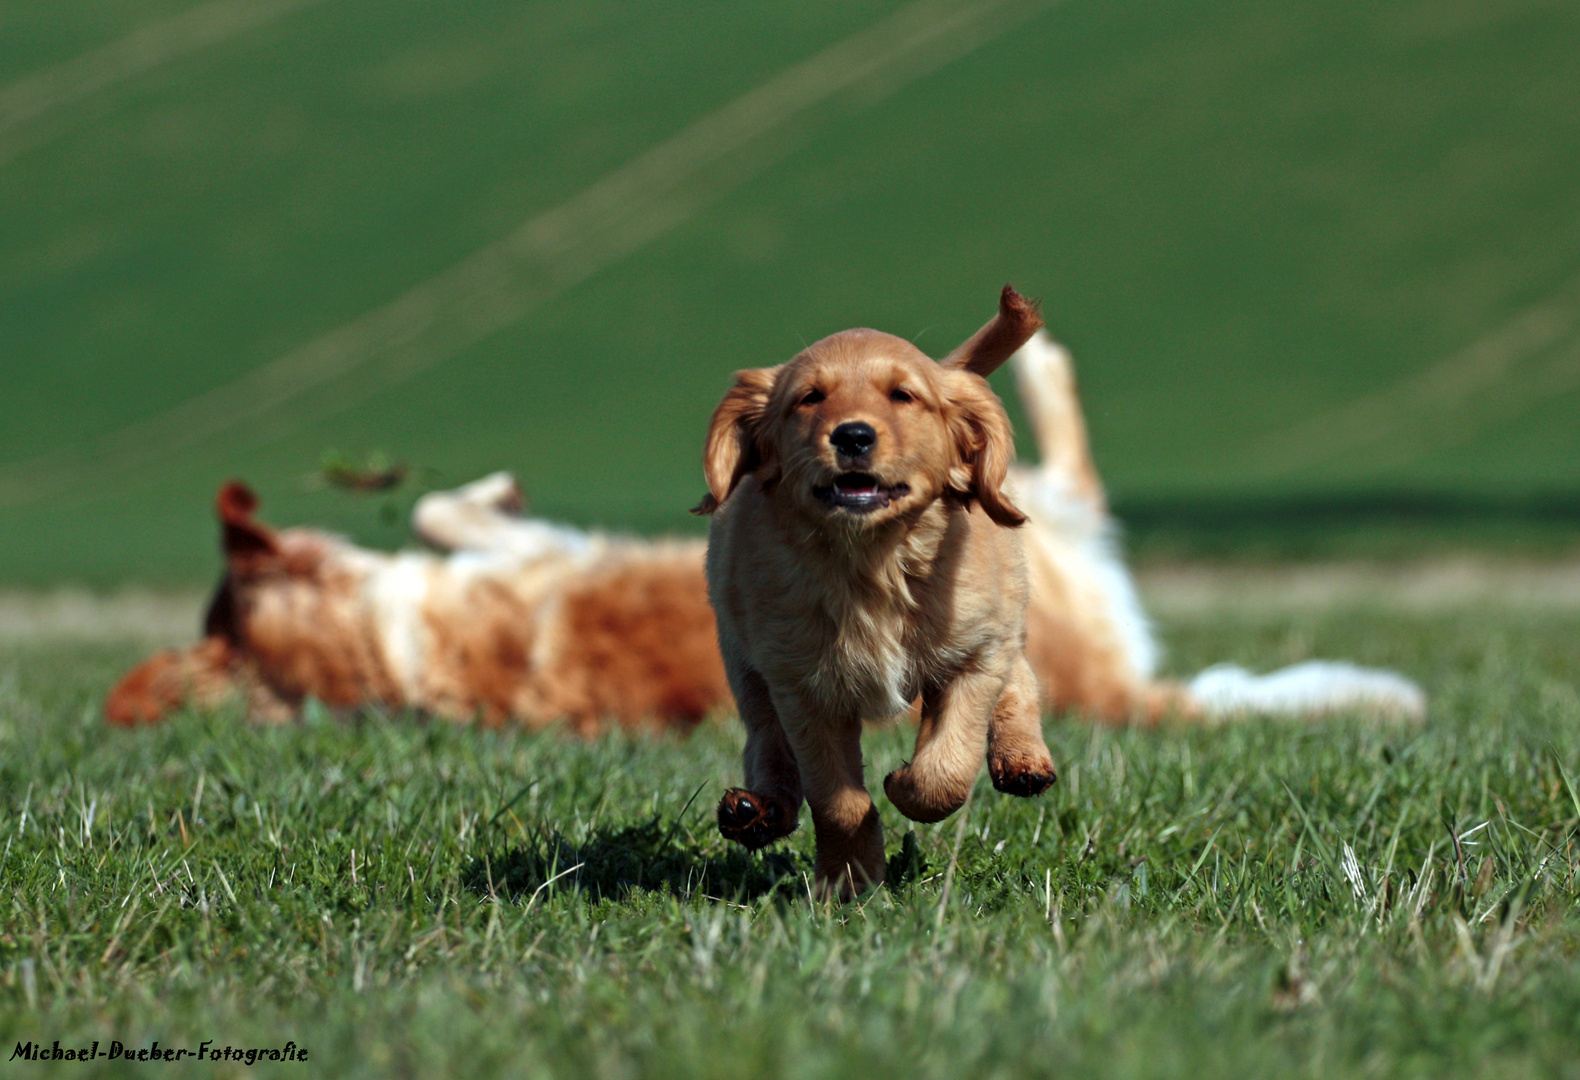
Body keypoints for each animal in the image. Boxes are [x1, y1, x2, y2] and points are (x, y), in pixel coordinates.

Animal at [698, 284, 1055, 896]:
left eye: (903, 396)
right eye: (810, 398)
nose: (853, 435)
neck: (870, 560)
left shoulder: (974, 654)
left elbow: (947, 767)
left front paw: (905, 787)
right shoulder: (801, 685)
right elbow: (836, 799)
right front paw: (849, 882)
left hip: (1002, 616)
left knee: (1020, 680)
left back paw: (1023, 759)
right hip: (744, 662)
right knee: (766, 743)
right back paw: (756, 811)